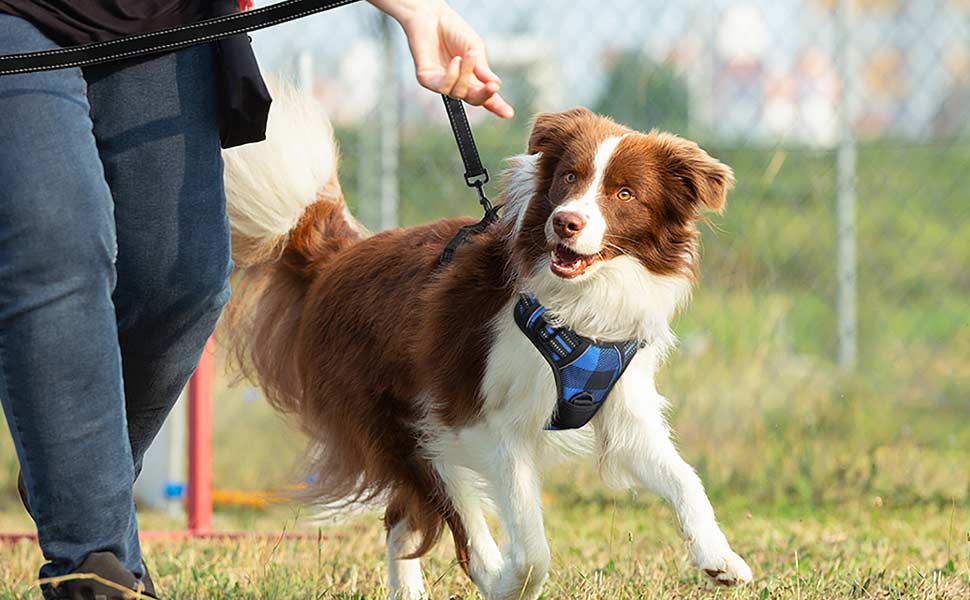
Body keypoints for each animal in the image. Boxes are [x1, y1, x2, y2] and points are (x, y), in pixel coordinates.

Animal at [223, 88, 752, 600]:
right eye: (568, 177)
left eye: (625, 193)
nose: (565, 222)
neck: (578, 304)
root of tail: (338, 257)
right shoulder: (477, 417)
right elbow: (532, 543)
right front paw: (510, 583)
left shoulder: (624, 409)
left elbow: (684, 477)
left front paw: (719, 557)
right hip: (408, 425)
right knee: (447, 520)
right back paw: (489, 572)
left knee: (402, 520)